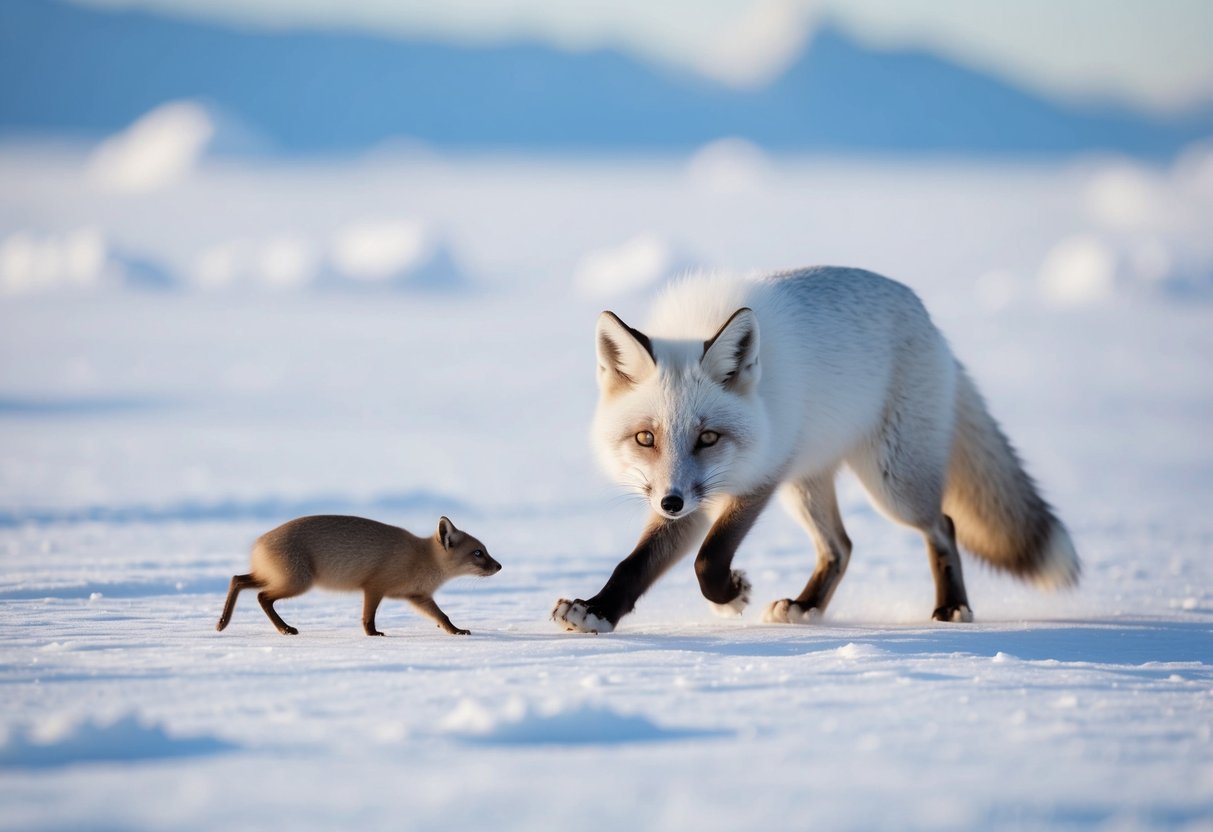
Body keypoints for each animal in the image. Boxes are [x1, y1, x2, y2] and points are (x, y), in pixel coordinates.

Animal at [216, 515, 501, 636]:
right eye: (478, 552)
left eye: (485, 550)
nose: (499, 566)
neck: (420, 558)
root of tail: (259, 542)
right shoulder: (374, 587)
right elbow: (368, 617)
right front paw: (372, 635)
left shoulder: (417, 597)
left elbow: (443, 617)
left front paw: (456, 631)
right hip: (297, 583)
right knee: (262, 597)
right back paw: (284, 628)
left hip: (279, 579)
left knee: (237, 579)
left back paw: (222, 622)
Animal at [552, 266, 1079, 633]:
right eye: (646, 438)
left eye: (708, 438)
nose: (671, 502)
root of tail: (927, 319)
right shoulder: (698, 498)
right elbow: (635, 564)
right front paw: (597, 611)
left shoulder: (758, 477)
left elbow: (708, 559)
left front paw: (730, 594)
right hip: (805, 487)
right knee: (841, 547)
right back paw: (807, 606)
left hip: (892, 484)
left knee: (943, 526)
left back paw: (952, 607)